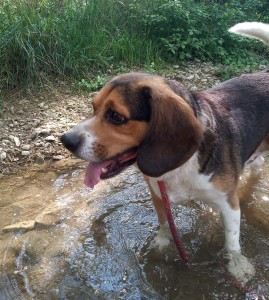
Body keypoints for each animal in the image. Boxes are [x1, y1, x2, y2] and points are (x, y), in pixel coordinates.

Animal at [60, 22, 268, 282]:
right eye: (93, 107)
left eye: (116, 116)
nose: (66, 140)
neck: (181, 166)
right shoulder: (158, 195)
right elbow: (165, 225)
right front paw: (160, 246)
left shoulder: (228, 203)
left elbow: (232, 241)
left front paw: (238, 265)